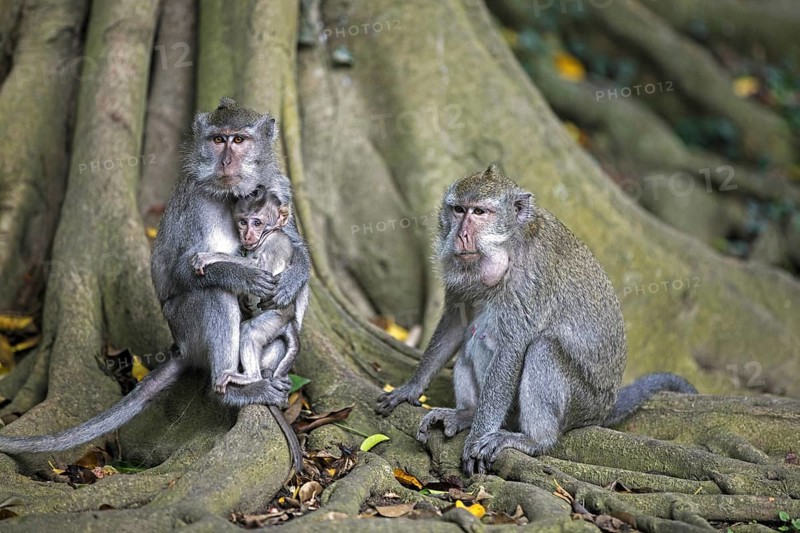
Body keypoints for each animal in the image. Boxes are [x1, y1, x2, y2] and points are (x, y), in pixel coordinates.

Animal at [0, 98, 310, 477]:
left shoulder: (280, 185)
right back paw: (232, 390)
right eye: (218, 140)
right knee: (213, 294)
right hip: (185, 323)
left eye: (239, 140)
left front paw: (293, 276)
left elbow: (294, 246)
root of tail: (181, 346)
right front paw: (243, 276)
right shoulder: (193, 200)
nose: (226, 161)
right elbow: (180, 269)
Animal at [376, 165, 696, 476]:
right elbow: (456, 322)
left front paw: (477, 437)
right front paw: (411, 388)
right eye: (458, 209)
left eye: (479, 212)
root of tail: (606, 408)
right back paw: (467, 413)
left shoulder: (527, 280)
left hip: (582, 406)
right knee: (475, 334)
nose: (460, 236)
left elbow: (512, 349)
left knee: (543, 349)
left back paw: (534, 440)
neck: (508, 244)